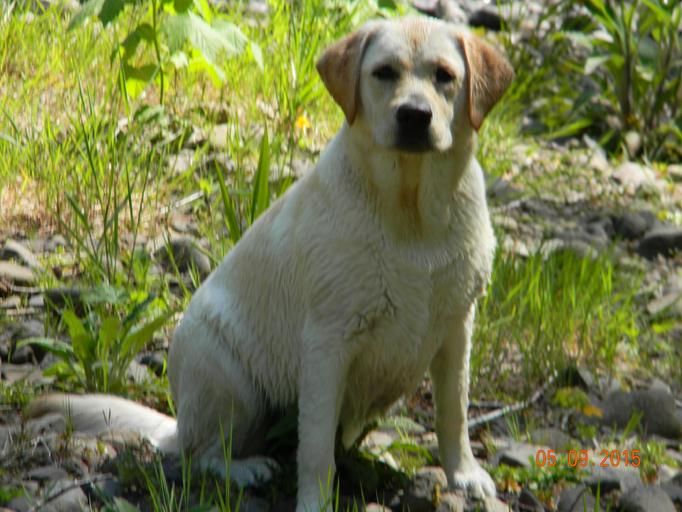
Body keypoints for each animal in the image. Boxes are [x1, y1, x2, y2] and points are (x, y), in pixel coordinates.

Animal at [30, 16, 510, 512]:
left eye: (444, 76)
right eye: (384, 73)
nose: (414, 115)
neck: (412, 214)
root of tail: (178, 423)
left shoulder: (457, 329)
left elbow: (454, 413)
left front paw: (464, 474)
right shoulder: (327, 342)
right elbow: (316, 448)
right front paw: (315, 503)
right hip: (228, 376)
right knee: (201, 454)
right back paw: (245, 468)